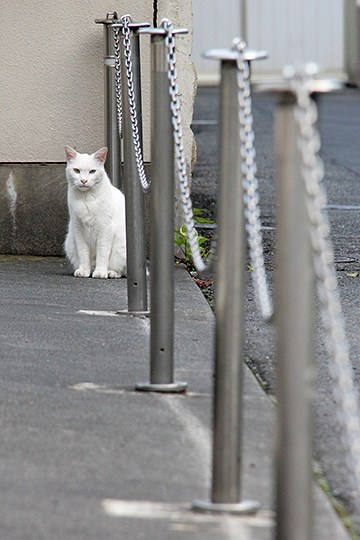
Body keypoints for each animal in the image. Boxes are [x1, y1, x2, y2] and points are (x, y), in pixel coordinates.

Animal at [64, 146, 126, 278]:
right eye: (76, 170)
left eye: (92, 171)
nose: (83, 181)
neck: (86, 198)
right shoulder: (78, 228)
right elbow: (83, 253)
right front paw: (84, 270)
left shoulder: (105, 228)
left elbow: (102, 252)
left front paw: (100, 272)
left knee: (122, 270)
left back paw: (111, 272)